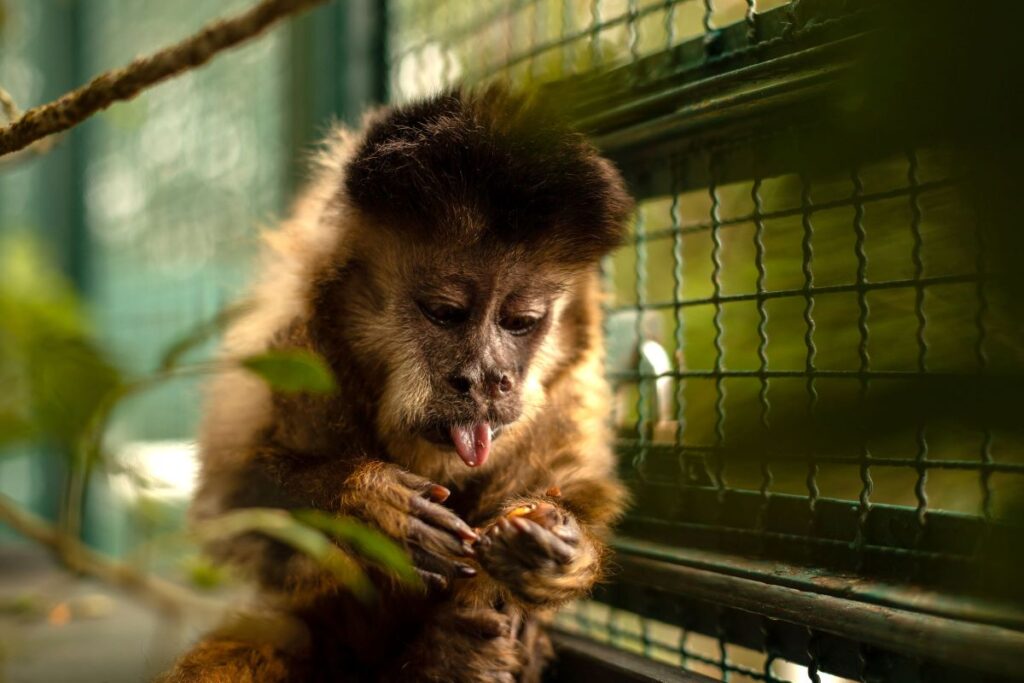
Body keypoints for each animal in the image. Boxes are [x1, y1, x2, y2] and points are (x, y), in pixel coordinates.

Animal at [162, 84, 634, 683]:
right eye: (445, 314)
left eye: (520, 321)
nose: (484, 378)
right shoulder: (295, 341)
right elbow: (231, 512)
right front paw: (368, 505)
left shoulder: (573, 385)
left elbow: (577, 484)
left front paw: (558, 549)